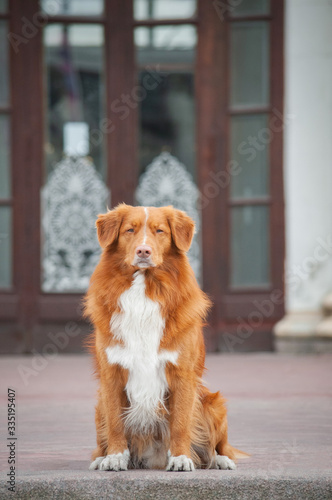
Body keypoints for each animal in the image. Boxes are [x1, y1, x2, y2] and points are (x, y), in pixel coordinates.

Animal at [85, 204, 246, 472]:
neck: (144, 289)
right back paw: (101, 458)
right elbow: (115, 422)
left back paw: (220, 460)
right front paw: (115, 456)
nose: (143, 251)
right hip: (98, 406)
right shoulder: (111, 374)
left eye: (159, 231)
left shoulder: (182, 374)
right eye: (130, 230)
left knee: (217, 447)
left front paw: (180, 458)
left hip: (213, 404)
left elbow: (180, 423)